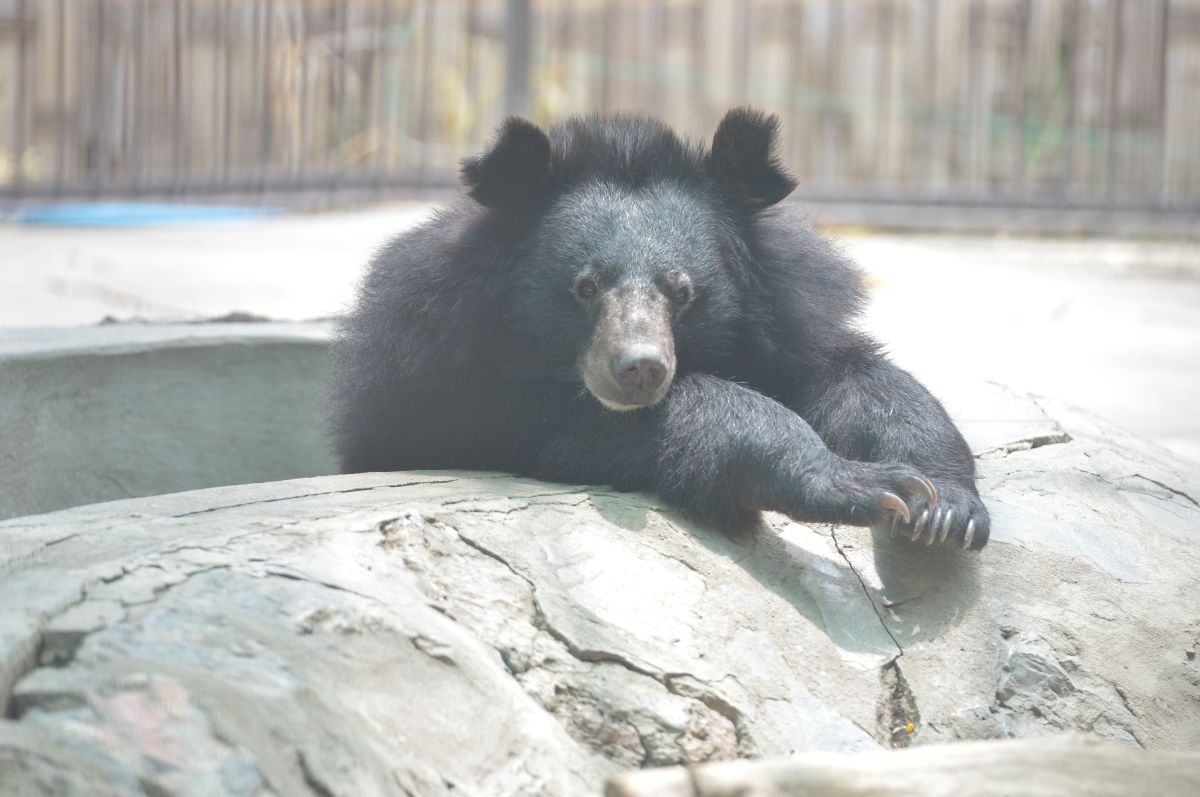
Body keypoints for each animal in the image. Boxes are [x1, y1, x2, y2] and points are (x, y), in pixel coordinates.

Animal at [328, 108, 989, 550]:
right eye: (586, 287)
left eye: (682, 291)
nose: (641, 369)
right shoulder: (472, 396)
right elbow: (704, 416)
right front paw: (866, 486)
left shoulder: (784, 319)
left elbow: (861, 380)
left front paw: (941, 506)